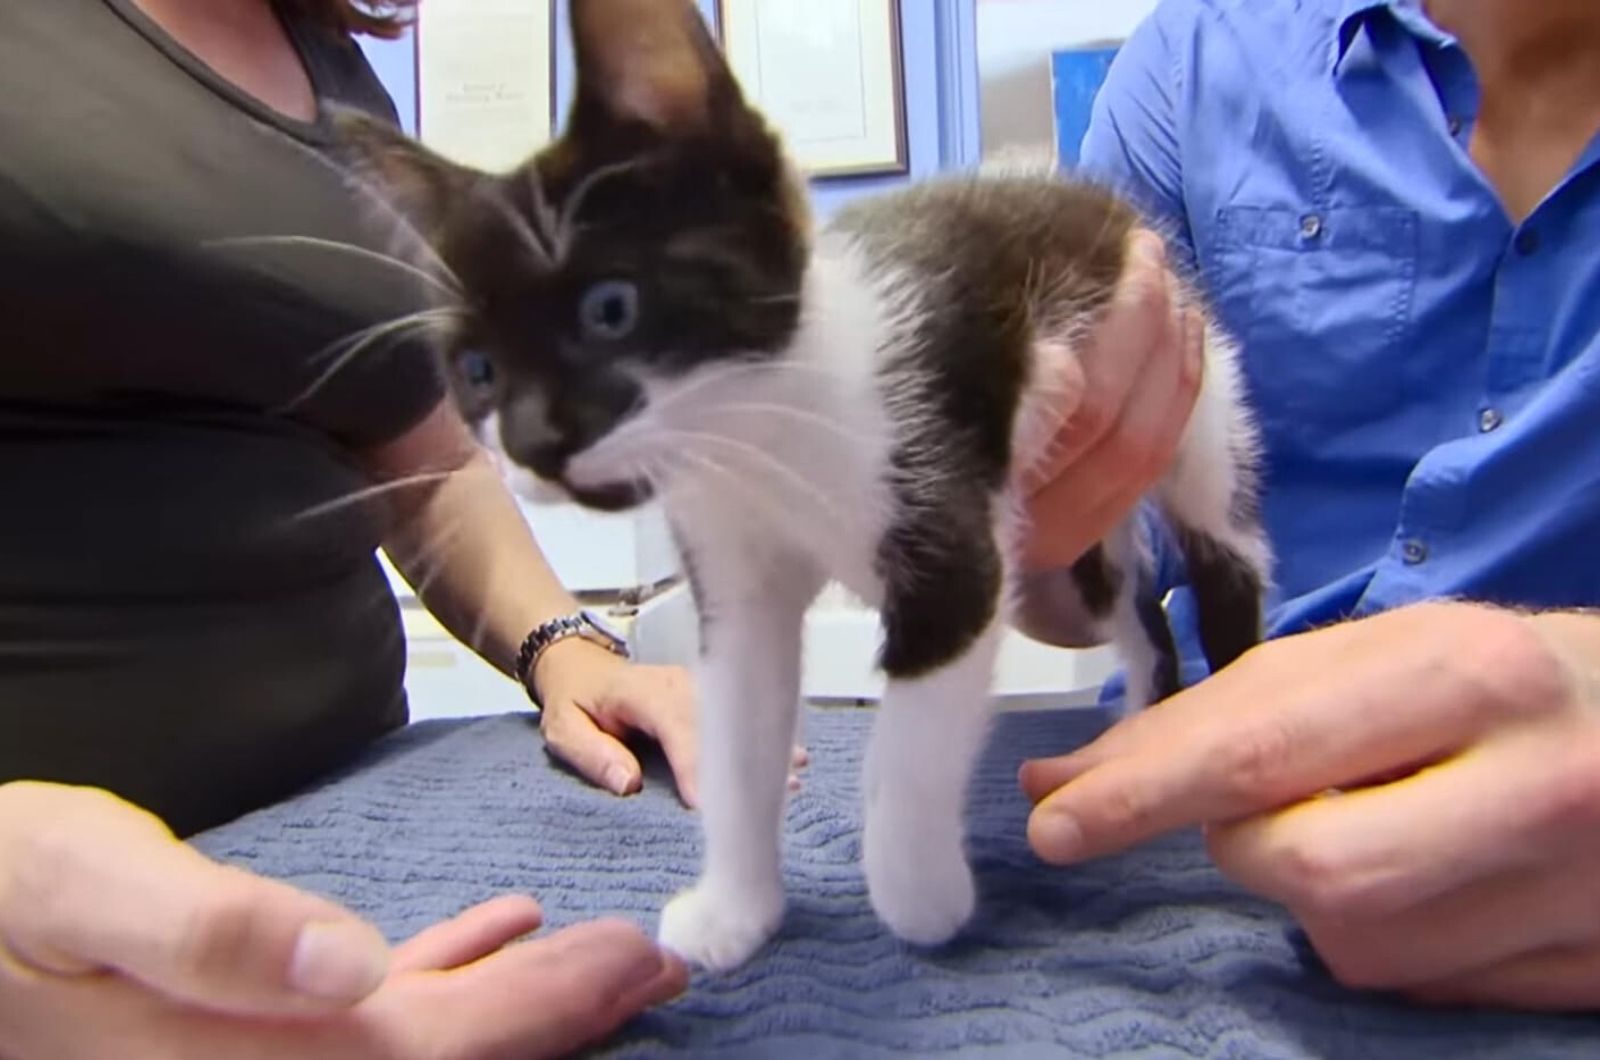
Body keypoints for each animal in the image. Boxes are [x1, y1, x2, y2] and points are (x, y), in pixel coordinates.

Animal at [340, 0, 1273, 973]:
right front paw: (737, 910)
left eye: (610, 309)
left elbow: (913, 736)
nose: (531, 447)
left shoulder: (942, 515)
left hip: (1195, 394)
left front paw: (916, 895)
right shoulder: (733, 573)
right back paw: (1145, 717)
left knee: (1224, 554)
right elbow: (740, 727)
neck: (763, 431)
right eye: (477, 372)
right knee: (1132, 609)